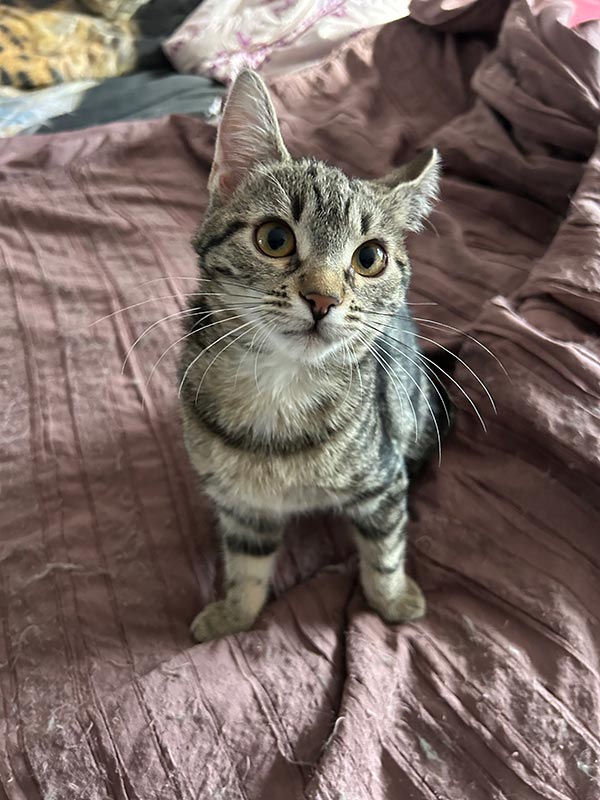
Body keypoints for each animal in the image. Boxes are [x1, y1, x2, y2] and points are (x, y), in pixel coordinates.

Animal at [178, 69, 451, 642]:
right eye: (275, 238)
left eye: (369, 258)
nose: (323, 299)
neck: (280, 389)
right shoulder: (241, 504)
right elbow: (247, 564)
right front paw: (234, 614)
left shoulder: (384, 481)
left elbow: (385, 550)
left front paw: (393, 600)